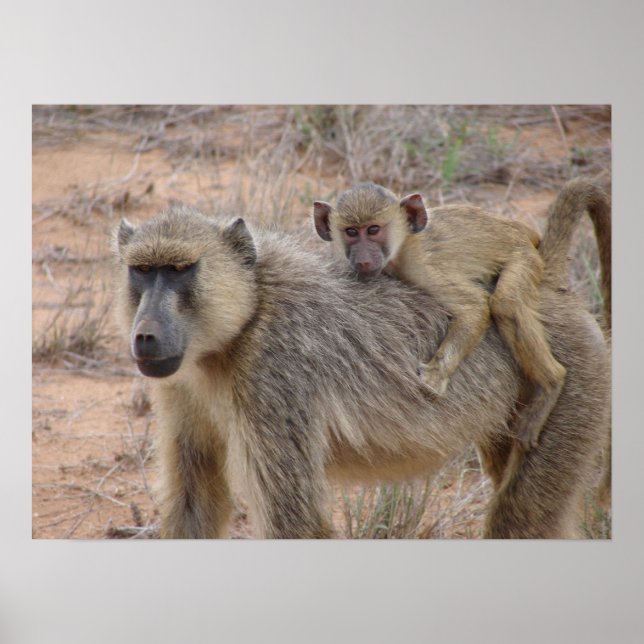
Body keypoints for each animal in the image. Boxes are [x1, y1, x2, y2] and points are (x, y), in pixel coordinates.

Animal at [313, 183, 566, 451]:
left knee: (505, 304)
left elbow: (475, 306)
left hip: (524, 257)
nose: (362, 260)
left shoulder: (421, 267)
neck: (402, 246)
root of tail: (521, 230)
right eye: (351, 232)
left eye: (373, 230)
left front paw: (435, 375)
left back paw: (552, 383)